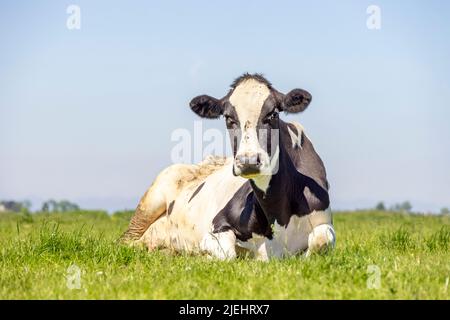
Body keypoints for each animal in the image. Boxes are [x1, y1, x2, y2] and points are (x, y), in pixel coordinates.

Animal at [121, 74, 336, 262]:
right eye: (228, 118)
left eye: (272, 114)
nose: (248, 161)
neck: (277, 214)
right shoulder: (217, 226)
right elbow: (227, 253)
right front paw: (201, 256)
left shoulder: (324, 222)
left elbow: (321, 239)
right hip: (150, 200)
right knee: (127, 241)